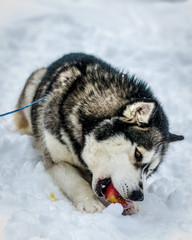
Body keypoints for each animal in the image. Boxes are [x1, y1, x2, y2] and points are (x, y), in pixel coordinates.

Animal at [14, 53, 183, 215]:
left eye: (150, 170)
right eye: (138, 155)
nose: (138, 196)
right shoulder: (57, 160)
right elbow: (75, 181)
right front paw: (89, 202)